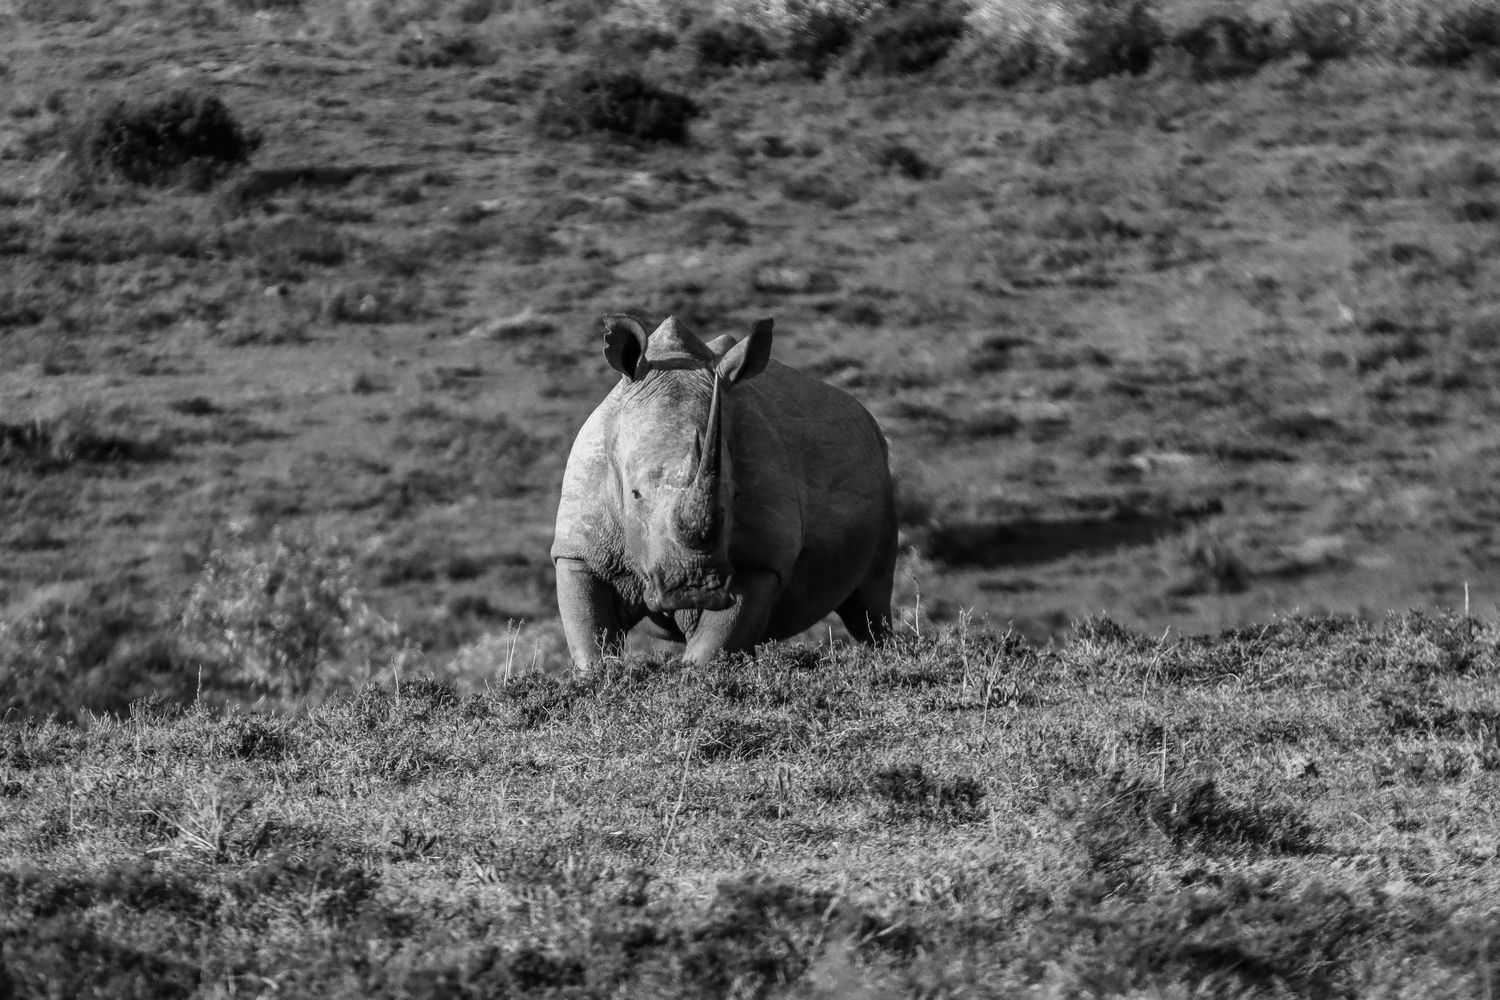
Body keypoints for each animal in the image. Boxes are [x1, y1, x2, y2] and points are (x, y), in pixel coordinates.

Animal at [552, 314, 898, 668]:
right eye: (634, 494)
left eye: (733, 497)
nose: (692, 588)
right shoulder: (578, 548)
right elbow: (590, 631)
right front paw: (599, 670)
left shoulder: (760, 562)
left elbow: (716, 641)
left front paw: (694, 671)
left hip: (882, 472)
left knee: (870, 602)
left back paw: (886, 651)